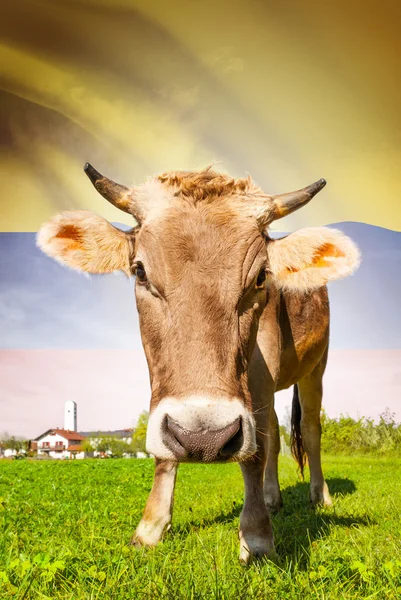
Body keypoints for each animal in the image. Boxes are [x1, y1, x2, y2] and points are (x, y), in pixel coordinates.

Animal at [37, 163, 360, 564]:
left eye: (261, 277)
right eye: (140, 271)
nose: (203, 438)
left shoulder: (263, 368)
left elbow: (254, 451)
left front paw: (256, 536)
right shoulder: (164, 380)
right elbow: (167, 449)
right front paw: (150, 527)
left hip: (316, 367)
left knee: (310, 431)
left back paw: (320, 496)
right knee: (272, 430)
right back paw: (272, 498)